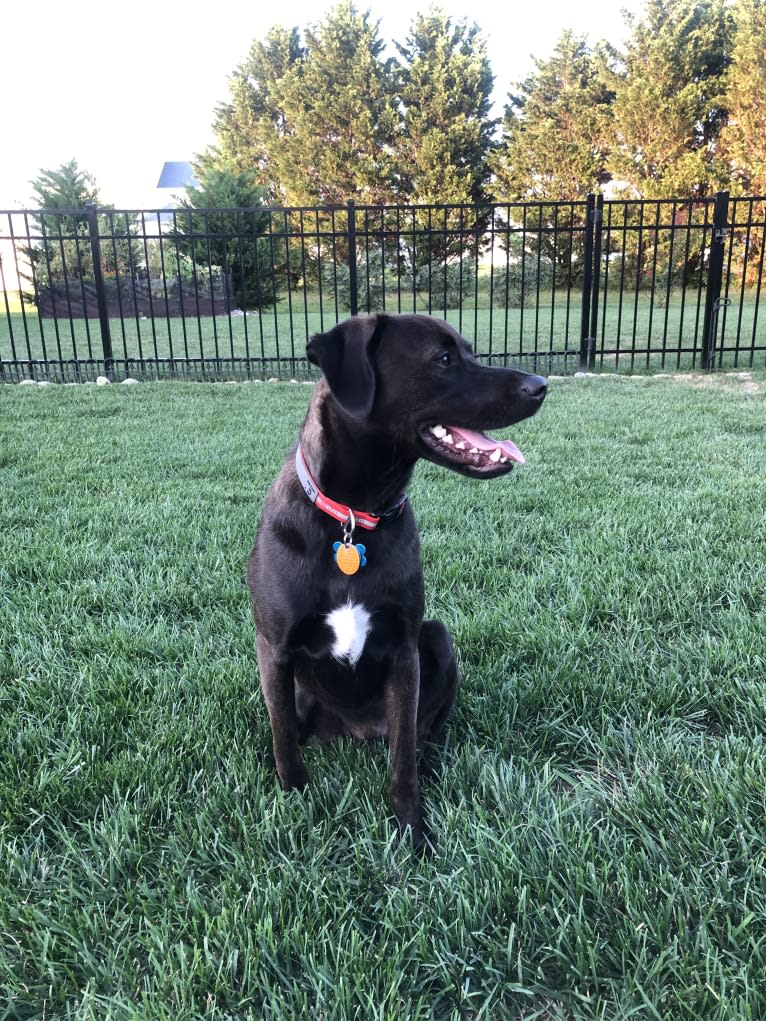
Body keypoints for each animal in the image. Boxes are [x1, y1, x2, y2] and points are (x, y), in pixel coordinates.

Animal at [246, 310, 547, 845]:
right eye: (443, 358)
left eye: (469, 350)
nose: (541, 385)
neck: (353, 518)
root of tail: (357, 731)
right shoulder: (274, 648)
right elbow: (283, 737)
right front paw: (294, 798)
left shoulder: (406, 651)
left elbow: (403, 755)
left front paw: (412, 830)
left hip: (438, 638)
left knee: (423, 734)